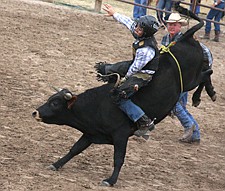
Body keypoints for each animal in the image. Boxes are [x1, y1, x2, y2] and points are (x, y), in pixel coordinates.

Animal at [32, 5, 213, 186]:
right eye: (49, 100)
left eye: (55, 104)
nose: (35, 112)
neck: (96, 106)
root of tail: (186, 39)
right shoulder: (90, 133)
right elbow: (74, 149)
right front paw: (56, 164)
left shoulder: (121, 135)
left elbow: (118, 159)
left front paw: (110, 180)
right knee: (207, 73)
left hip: (191, 80)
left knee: (207, 74)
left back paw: (202, 96)